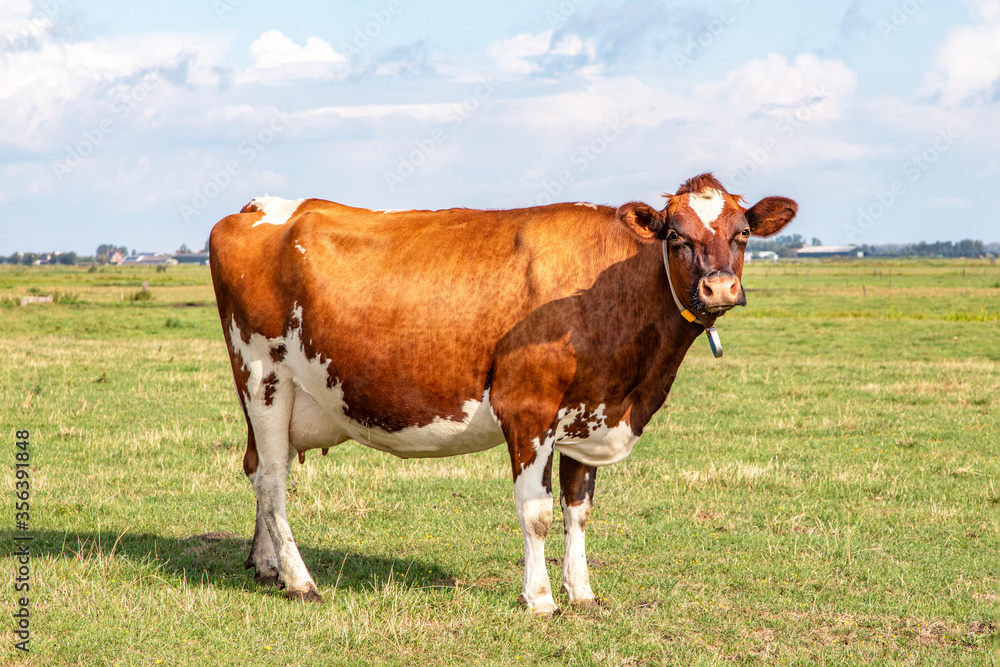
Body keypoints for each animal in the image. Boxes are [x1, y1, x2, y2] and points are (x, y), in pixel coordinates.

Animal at [211, 174, 796, 616]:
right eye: (675, 236)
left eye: (743, 233)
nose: (719, 288)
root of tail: (256, 207)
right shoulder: (528, 410)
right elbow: (537, 512)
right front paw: (539, 599)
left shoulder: (589, 414)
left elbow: (578, 509)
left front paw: (582, 592)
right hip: (263, 375)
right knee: (273, 479)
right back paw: (299, 580)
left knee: (259, 468)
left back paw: (266, 566)